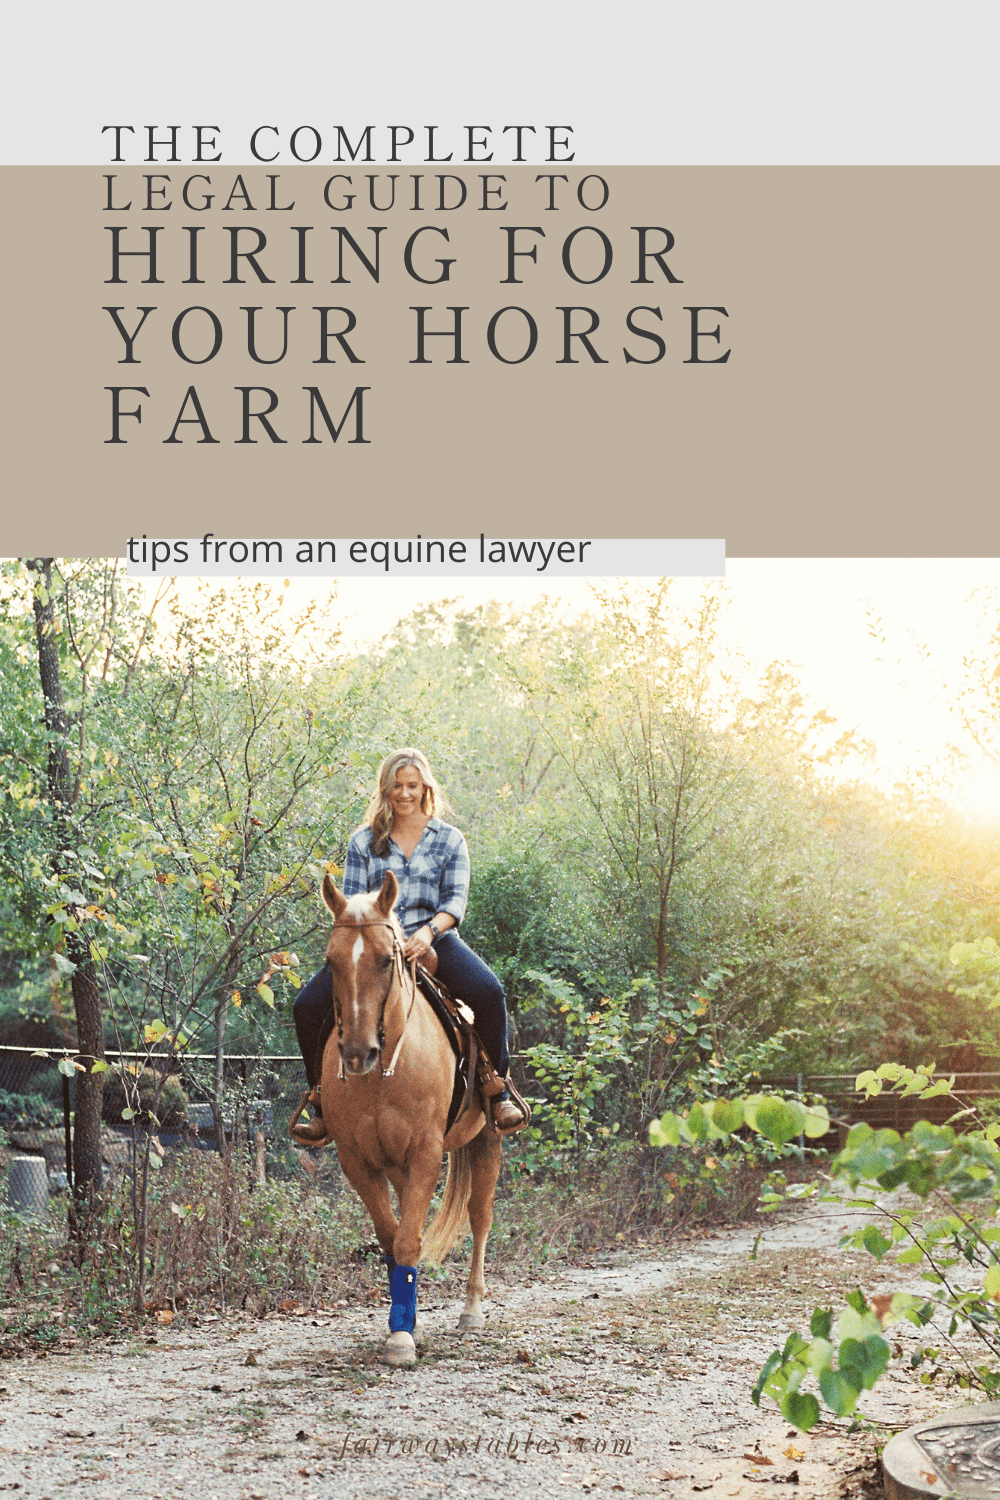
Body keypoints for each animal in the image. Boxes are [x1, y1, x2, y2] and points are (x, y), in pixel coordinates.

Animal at [298, 868, 504, 1367]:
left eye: (386, 960)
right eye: (331, 961)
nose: (358, 1053)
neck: (384, 1073)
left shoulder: (427, 1152)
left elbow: (410, 1238)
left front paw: (400, 1341)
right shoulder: (357, 1159)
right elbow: (392, 1238)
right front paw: (404, 1322)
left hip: (487, 1139)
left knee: (480, 1217)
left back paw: (472, 1310)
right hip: (395, 1163)